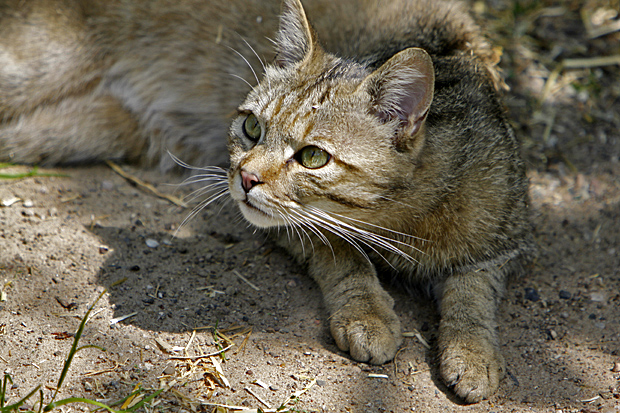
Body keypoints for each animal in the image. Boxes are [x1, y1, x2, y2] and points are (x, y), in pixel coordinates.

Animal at [0, 0, 532, 402]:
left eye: (313, 156)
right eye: (252, 127)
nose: (244, 176)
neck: (400, 218)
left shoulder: (502, 239)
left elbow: (473, 295)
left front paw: (474, 355)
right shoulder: (292, 227)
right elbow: (343, 254)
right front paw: (368, 315)